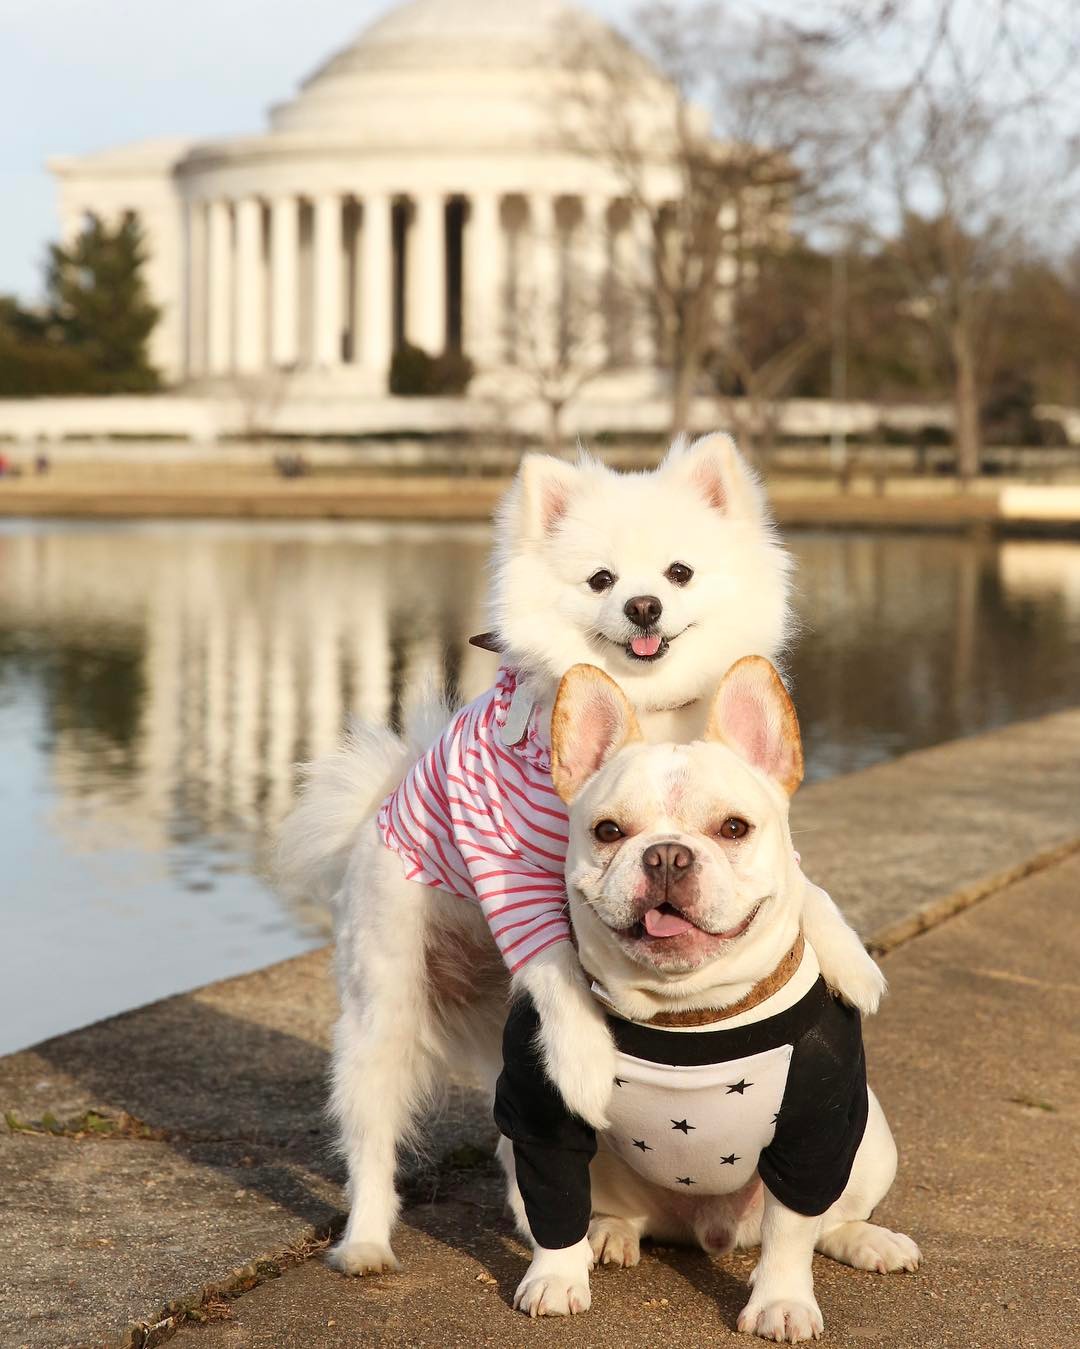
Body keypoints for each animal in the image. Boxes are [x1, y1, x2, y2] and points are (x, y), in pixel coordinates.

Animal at [277, 428, 884, 1273]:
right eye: (601, 579)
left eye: (678, 572)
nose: (642, 604)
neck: (647, 711)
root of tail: (384, 796)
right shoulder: (513, 870)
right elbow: (558, 970)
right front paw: (588, 1068)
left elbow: (806, 887)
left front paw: (852, 962)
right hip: (385, 1008)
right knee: (373, 1139)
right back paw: (367, 1240)